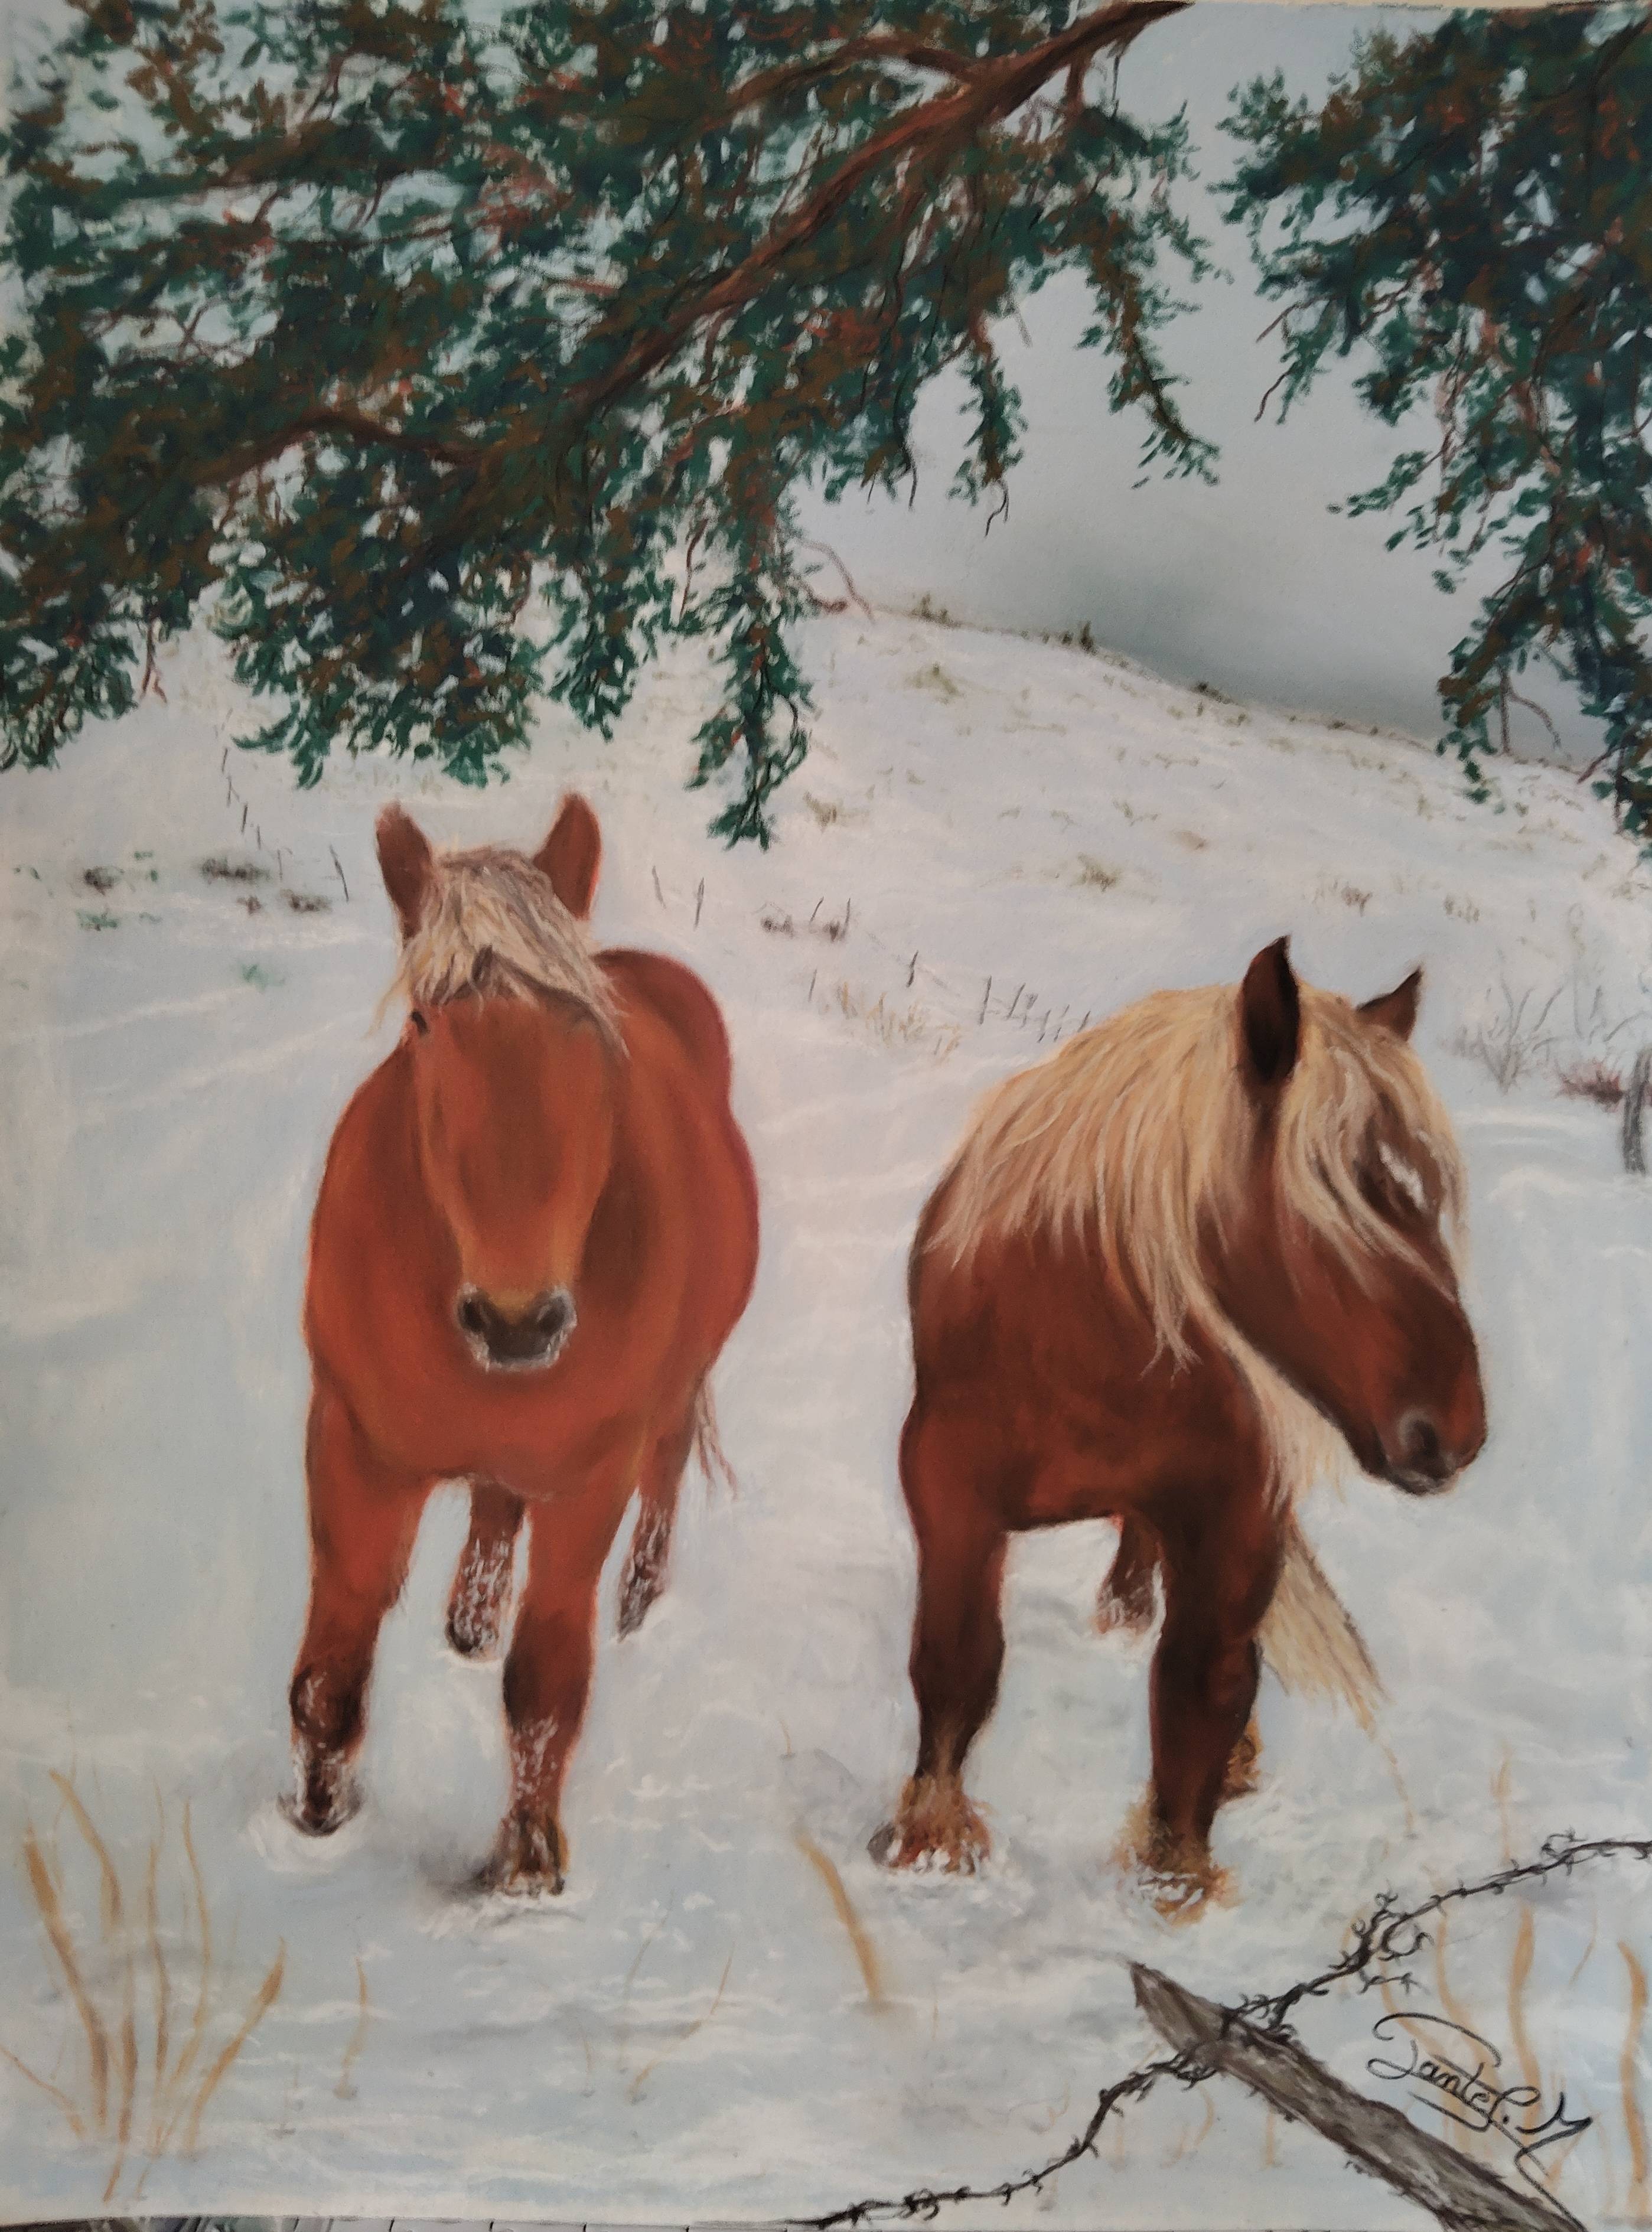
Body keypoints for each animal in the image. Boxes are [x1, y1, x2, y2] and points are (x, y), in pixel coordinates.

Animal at [287, 795, 759, 1894]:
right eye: (423, 1021)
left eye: (586, 1028)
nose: (518, 1320)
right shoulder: (353, 1445)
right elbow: (331, 1664)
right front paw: (318, 1818)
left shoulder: (589, 1478)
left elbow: (545, 1684)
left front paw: (526, 1867)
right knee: (497, 1500)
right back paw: (469, 1615)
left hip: (671, 1404)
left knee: (666, 1468)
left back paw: (637, 1598)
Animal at [873, 938, 1485, 1916]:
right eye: (1334, 1192)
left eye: (1425, 1196)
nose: (1452, 1433)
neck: (1080, 1342)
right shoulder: (947, 1488)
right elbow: (956, 1660)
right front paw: (929, 1842)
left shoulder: (1236, 1513)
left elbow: (1201, 1687)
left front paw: (1173, 1880)